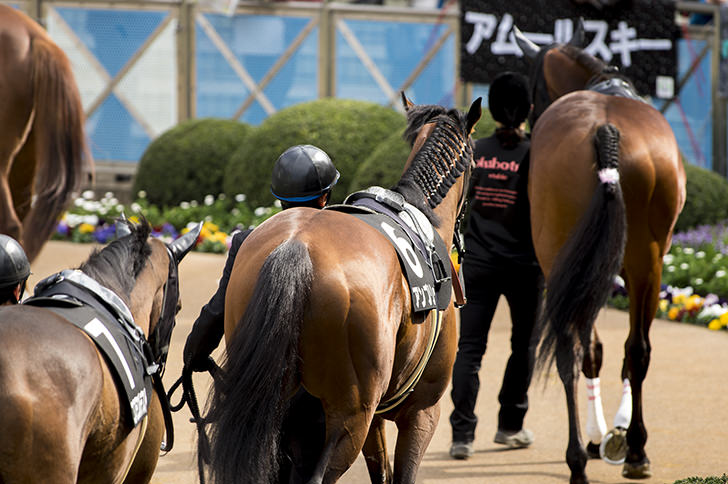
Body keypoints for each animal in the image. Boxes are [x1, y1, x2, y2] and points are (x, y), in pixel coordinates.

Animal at [516, 21, 684, 484]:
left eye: (533, 88)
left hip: (564, 258)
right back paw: (636, 451)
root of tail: (605, 132)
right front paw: (618, 436)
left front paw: (600, 437)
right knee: (637, 349)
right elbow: (624, 350)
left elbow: (591, 349)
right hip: (647, 260)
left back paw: (579, 456)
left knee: (572, 352)